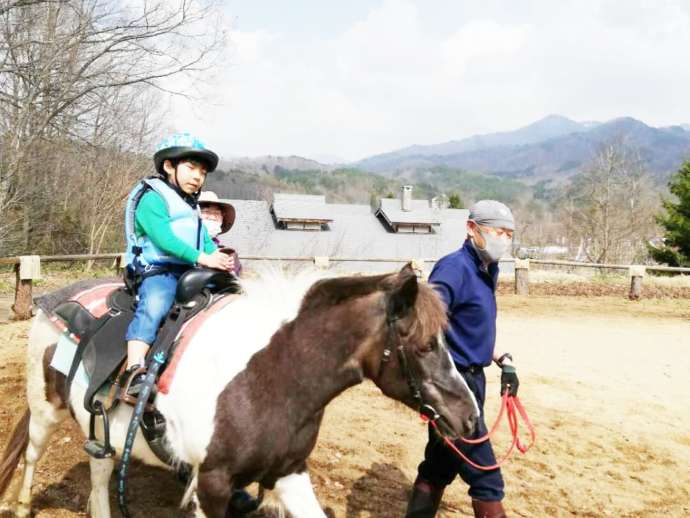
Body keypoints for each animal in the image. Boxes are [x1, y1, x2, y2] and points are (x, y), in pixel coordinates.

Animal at [0, 266, 476, 516]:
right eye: (426, 345)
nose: (470, 416)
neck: (272, 375)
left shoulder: (288, 473)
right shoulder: (213, 483)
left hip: (101, 435)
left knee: (99, 481)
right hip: (44, 412)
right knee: (32, 457)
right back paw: (22, 504)